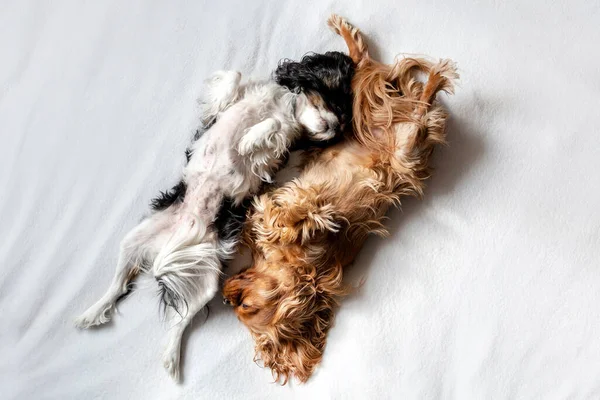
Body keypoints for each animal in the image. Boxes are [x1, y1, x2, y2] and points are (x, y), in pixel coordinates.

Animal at [75, 51, 356, 380]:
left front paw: (249, 139)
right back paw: (91, 313)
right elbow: (234, 77)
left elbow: (271, 125)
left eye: (342, 119)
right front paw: (234, 112)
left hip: (208, 277)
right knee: (118, 287)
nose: (335, 126)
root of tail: (174, 242)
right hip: (134, 239)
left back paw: (171, 358)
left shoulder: (279, 146)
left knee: (180, 319)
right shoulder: (234, 104)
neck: (285, 104)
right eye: (335, 104)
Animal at [223, 14, 458, 384]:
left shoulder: (306, 216)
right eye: (235, 307)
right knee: (405, 93)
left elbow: (288, 216)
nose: (223, 295)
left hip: (398, 141)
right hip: (395, 131)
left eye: (244, 306)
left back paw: (434, 73)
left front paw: (276, 218)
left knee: (394, 86)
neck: (294, 266)